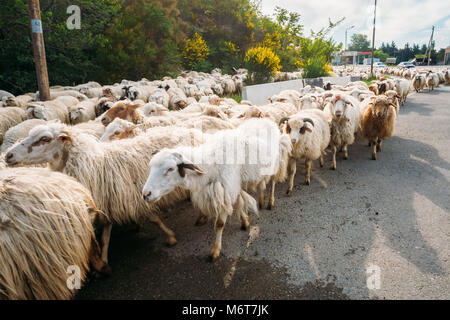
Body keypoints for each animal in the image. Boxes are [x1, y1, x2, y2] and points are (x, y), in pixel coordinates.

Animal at [142, 117, 294, 260]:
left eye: (170, 169)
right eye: (150, 166)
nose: (145, 194)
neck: (211, 164)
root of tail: (264, 119)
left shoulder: (225, 189)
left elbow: (220, 223)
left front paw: (215, 251)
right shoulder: (231, 186)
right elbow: (238, 201)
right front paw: (245, 221)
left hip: (274, 163)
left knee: (273, 182)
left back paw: (270, 202)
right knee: (262, 183)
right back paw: (261, 201)